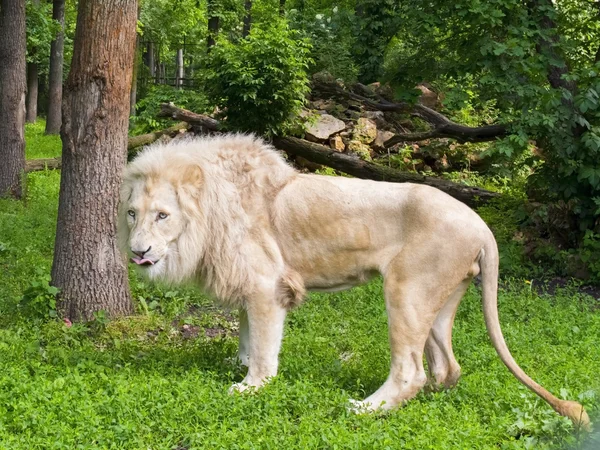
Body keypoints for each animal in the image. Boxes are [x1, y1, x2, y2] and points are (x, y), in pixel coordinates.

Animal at [119, 133, 588, 426]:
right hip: (441, 299)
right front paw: (238, 363)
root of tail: (483, 226)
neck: (211, 210)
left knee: (411, 370)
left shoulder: (267, 285)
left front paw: (251, 386)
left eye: (163, 215)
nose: (137, 252)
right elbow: (246, 332)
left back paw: (366, 409)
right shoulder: (250, 286)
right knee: (447, 366)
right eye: (132, 214)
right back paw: (429, 400)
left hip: (405, 289)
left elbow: (264, 346)